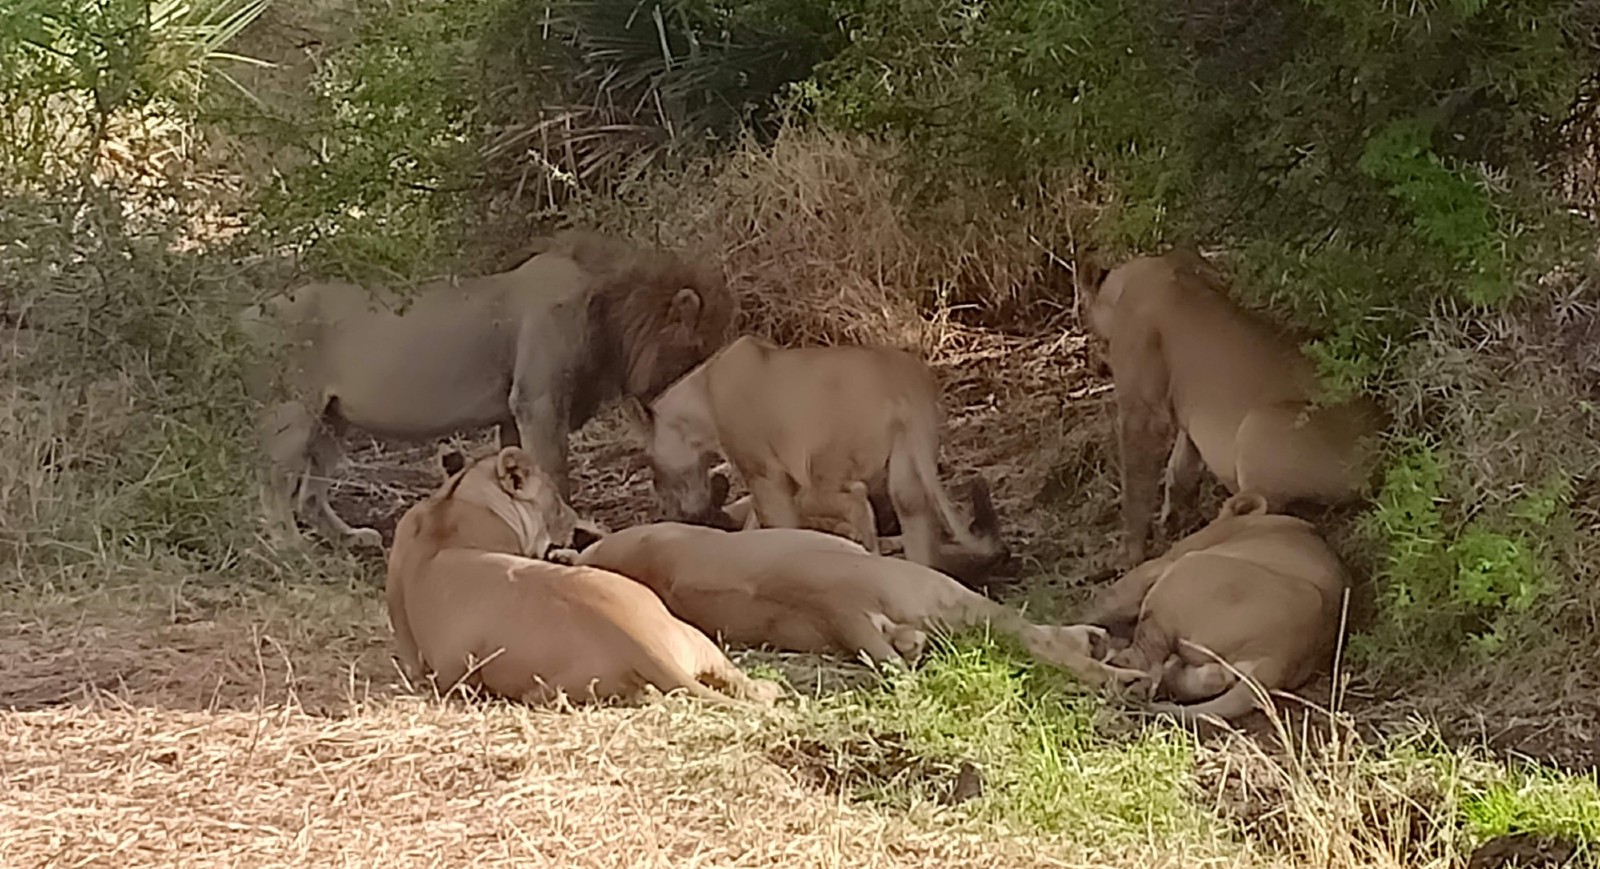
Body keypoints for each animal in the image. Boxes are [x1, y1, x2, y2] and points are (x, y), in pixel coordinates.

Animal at [630, 336, 1004, 588]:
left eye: (651, 464)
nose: (661, 493)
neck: (702, 393)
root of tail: (903, 386)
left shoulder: (763, 472)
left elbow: (776, 522)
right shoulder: (776, 477)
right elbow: (756, 521)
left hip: (825, 465)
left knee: (857, 502)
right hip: (904, 473)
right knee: (915, 518)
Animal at [1075, 248, 1388, 566]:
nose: (1092, 360)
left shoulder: (1144, 412)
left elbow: (1136, 485)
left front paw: (1129, 552)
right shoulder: (1189, 419)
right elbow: (1180, 469)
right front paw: (1173, 518)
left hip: (1259, 425)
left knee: (1263, 510)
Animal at [1088, 492, 1350, 723]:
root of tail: (1281, 656)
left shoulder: (1161, 564)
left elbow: (1108, 598)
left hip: (1184, 571)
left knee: (1144, 658)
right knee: (1212, 678)